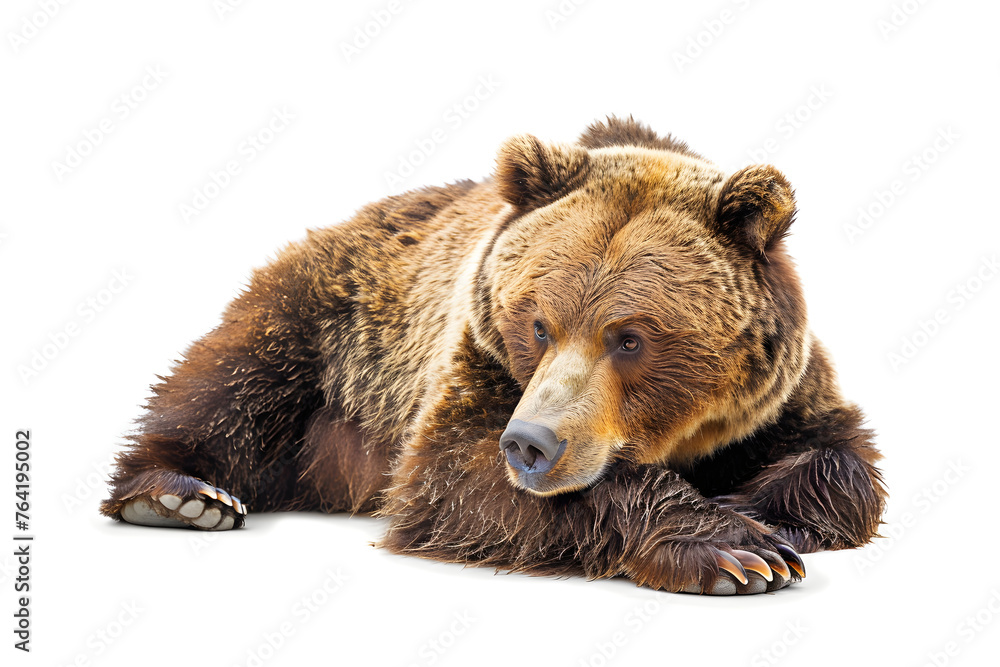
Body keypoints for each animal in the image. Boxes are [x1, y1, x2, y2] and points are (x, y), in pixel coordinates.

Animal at [100, 116, 886, 595]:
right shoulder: (476, 363)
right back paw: (180, 493)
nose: (532, 443)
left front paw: (760, 513)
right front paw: (735, 551)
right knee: (229, 383)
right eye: (537, 324)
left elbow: (843, 457)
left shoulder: (779, 395)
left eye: (630, 337)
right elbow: (452, 474)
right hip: (326, 324)